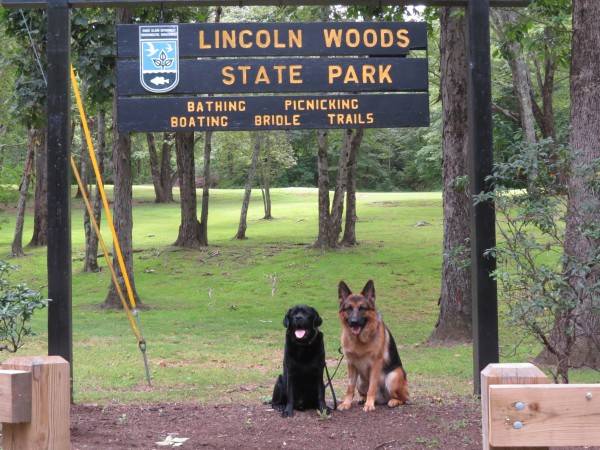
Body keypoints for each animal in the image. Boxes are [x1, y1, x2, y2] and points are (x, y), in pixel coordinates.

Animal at [338, 280, 408, 414]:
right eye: (349, 308)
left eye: (362, 308)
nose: (354, 322)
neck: (359, 341)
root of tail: (382, 399)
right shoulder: (351, 364)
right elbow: (350, 387)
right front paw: (346, 403)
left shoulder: (376, 364)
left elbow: (372, 387)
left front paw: (369, 405)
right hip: (360, 381)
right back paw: (362, 399)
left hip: (393, 376)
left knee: (404, 398)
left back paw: (392, 401)